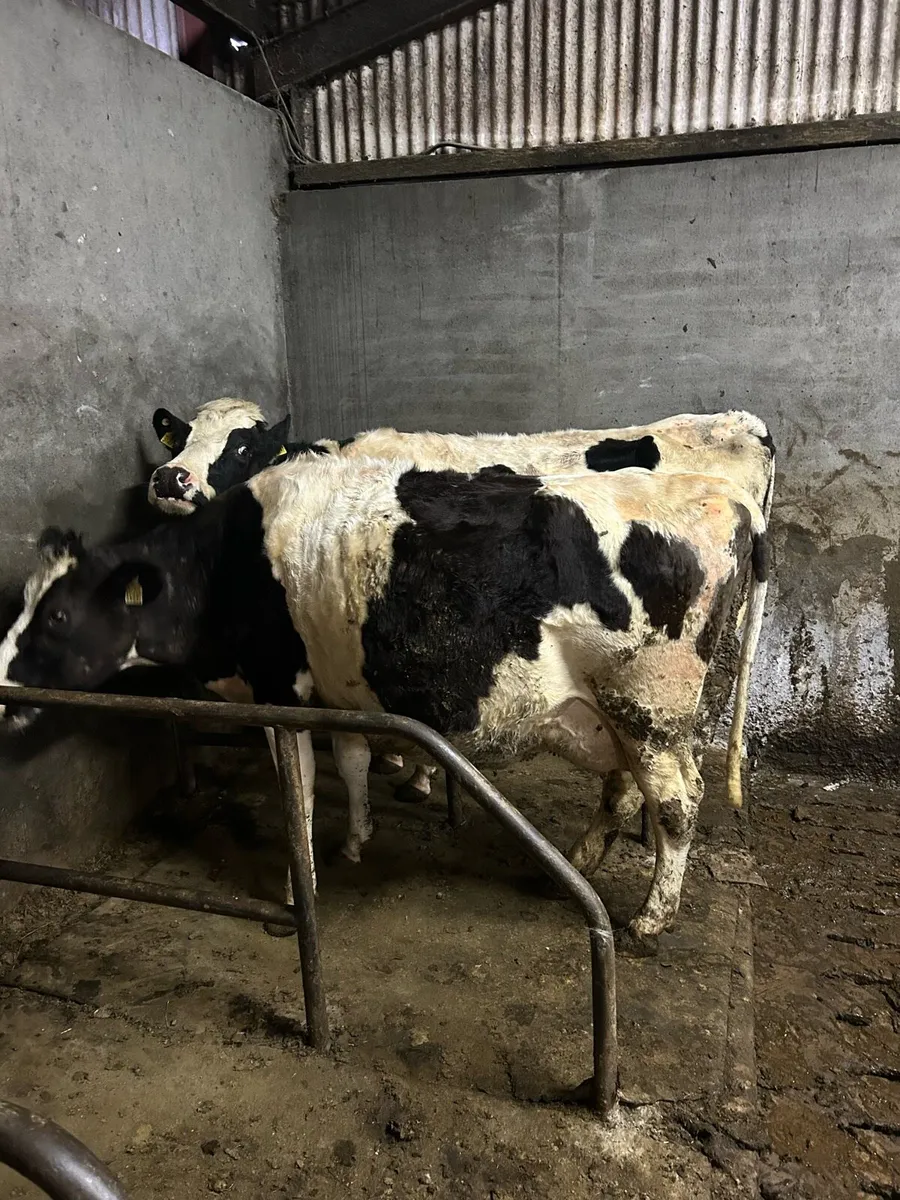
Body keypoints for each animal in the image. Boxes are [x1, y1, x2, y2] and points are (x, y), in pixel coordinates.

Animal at [0, 455, 768, 954]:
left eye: (59, 616)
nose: (2, 683)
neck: (222, 565)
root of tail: (724, 492)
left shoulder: (280, 694)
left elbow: (302, 793)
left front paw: (296, 889)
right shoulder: (338, 693)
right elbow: (353, 760)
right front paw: (357, 838)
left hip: (649, 707)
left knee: (676, 805)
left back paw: (649, 919)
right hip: (620, 715)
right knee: (626, 791)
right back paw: (576, 865)